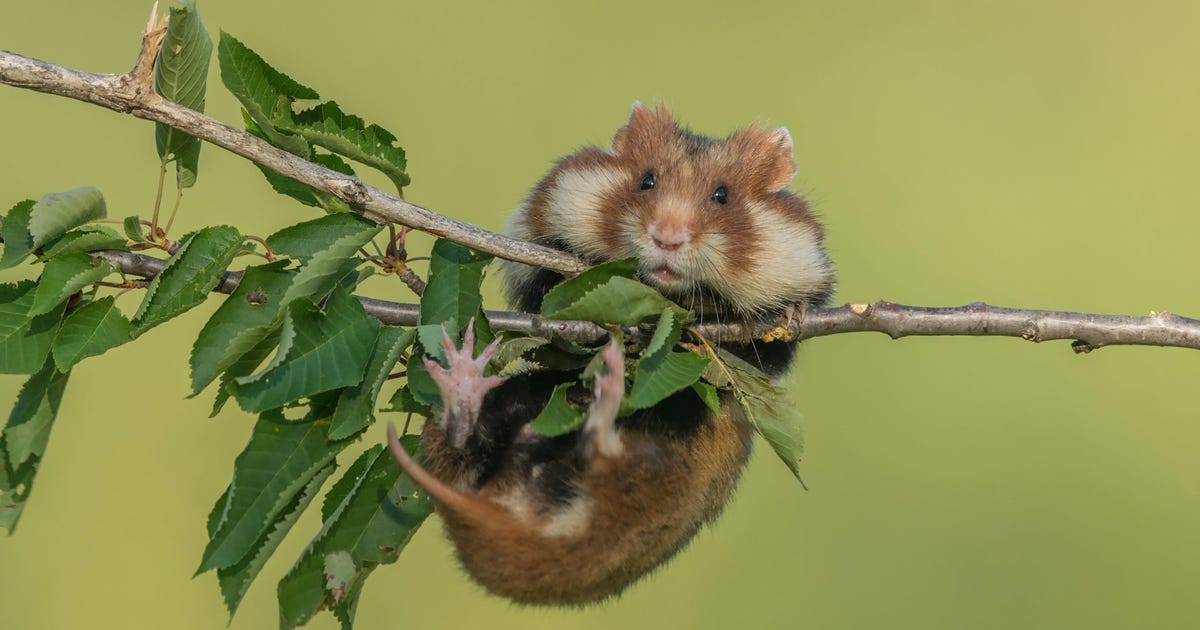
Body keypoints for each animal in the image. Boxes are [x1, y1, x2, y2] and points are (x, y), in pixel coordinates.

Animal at [387, 103, 834, 606]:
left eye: (722, 196)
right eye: (646, 181)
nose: (667, 238)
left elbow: (769, 341)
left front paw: (792, 312)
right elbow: (547, 296)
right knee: (471, 441)